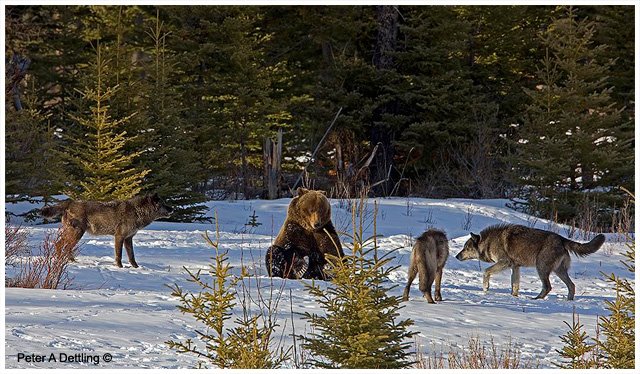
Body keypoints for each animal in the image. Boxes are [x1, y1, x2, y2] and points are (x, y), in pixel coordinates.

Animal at [41, 193, 174, 268]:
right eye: (163, 204)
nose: (173, 209)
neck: (137, 211)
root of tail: (69, 202)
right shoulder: (119, 237)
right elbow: (119, 255)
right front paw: (119, 267)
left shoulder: (128, 238)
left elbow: (132, 256)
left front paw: (136, 268)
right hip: (77, 233)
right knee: (60, 244)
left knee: (62, 245)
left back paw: (70, 261)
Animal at [456, 224, 604, 300]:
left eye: (466, 248)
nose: (457, 256)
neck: (488, 242)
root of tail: (562, 239)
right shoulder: (515, 267)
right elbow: (515, 285)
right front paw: (514, 297)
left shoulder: (505, 262)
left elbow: (486, 272)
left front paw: (486, 288)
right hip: (558, 271)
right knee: (571, 285)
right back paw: (568, 301)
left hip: (541, 268)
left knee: (548, 287)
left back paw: (536, 299)